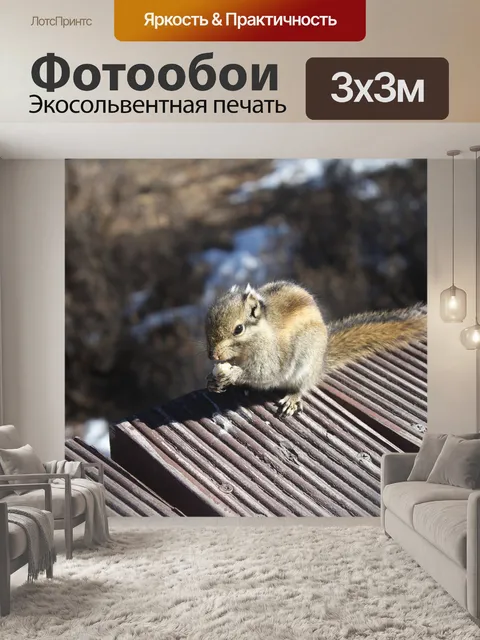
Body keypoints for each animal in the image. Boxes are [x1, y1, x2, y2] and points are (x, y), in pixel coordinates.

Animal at [205, 280, 426, 416]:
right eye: (207, 322)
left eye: (238, 329)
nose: (212, 355)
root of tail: (321, 362)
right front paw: (212, 380)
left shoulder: (272, 357)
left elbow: (264, 372)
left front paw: (233, 374)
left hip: (306, 364)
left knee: (302, 386)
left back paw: (292, 398)